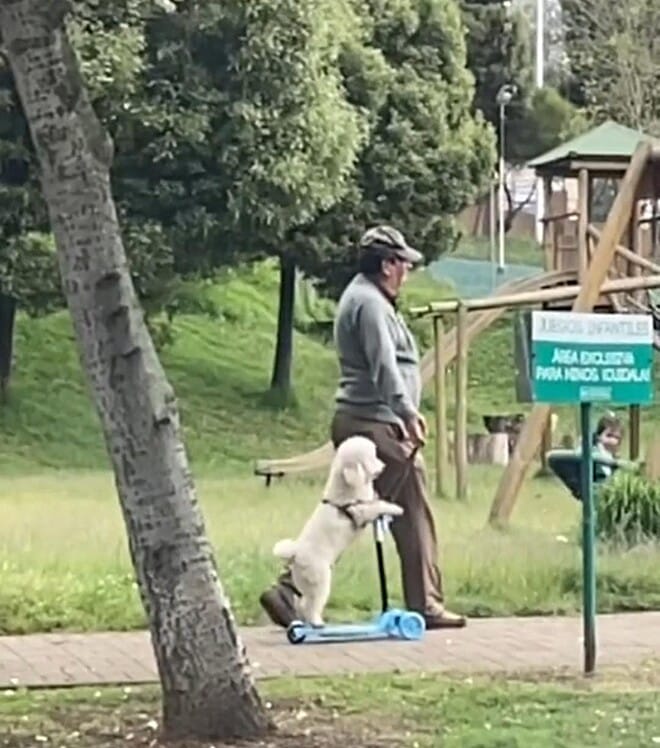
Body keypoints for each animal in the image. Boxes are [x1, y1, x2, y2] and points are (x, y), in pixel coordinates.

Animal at [272, 436, 402, 628]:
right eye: (371, 457)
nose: (383, 466)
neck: (346, 485)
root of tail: (296, 553)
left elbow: (375, 500)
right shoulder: (361, 511)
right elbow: (377, 505)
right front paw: (395, 508)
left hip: (306, 582)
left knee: (303, 602)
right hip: (321, 580)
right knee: (312, 605)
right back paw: (317, 623)